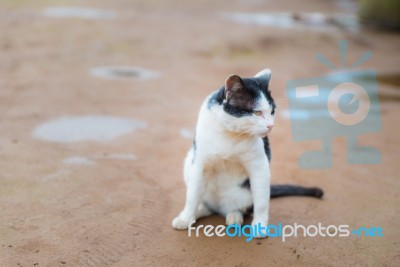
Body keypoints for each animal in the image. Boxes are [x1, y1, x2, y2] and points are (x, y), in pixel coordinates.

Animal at [171, 68, 322, 238]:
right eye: (257, 113)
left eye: (272, 111)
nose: (271, 126)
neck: (230, 134)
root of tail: (218, 207)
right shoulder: (199, 164)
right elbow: (192, 195)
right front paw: (185, 218)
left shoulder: (259, 166)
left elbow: (261, 202)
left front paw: (259, 227)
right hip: (189, 163)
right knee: (206, 204)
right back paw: (198, 212)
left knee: (240, 207)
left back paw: (234, 216)